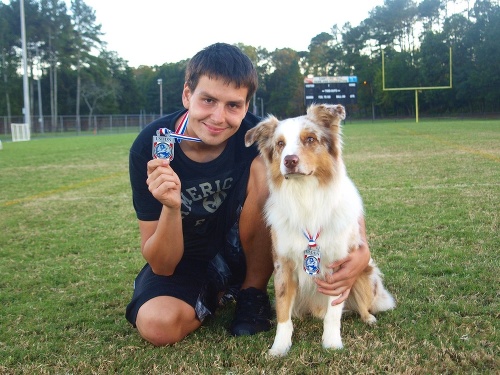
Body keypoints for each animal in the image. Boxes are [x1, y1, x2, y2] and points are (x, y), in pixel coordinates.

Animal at [245, 103, 394, 358]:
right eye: (280, 144)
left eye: (310, 139)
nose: (289, 160)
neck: (306, 197)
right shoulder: (283, 265)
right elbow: (283, 313)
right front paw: (279, 347)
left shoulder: (338, 267)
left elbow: (333, 313)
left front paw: (332, 343)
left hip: (364, 272)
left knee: (362, 305)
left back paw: (368, 318)